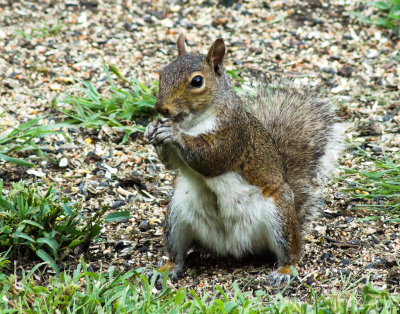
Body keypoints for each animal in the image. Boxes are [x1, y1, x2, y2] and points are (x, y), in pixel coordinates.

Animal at [145, 33, 344, 284]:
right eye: (162, 73)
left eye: (197, 81)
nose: (161, 109)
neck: (191, 122)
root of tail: (232, 247)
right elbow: (170, 164)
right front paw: (152, 128)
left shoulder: (232, 134)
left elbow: (209, 157)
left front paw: (172, 133)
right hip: (177, 215)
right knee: (177, 255)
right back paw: (164, 269)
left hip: (279, 216)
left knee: (292, 252)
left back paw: (284, 271)